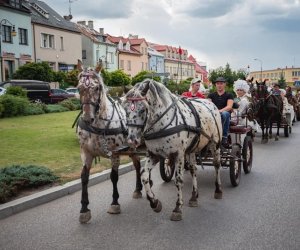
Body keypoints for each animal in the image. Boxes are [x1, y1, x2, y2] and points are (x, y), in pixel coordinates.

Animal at [122, 78, 223, 221]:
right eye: (125, 110)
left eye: (142, 110)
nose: (132, 140)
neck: (162, 123)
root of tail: (210, 103)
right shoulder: (154, 154)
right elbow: (144, 176)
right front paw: (154, 202)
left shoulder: (178, 154)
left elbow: (178, 180)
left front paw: (177, 208)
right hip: (192, 149)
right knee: (193, 169)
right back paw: (194, 196)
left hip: (215, 144)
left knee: (216, 165)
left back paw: (218, 190)